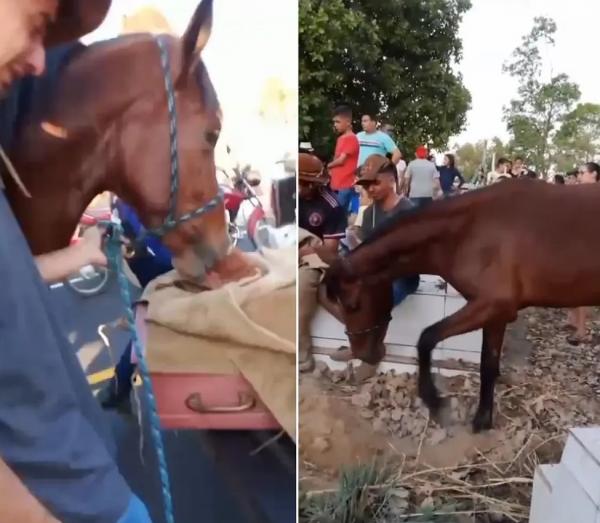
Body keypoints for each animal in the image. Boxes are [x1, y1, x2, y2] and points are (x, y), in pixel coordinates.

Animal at [326, 180, 600, 434]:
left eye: (353, 305)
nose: (363, 354)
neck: (467, 231)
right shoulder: (496, 315)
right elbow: (487, 364)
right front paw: (483, 418)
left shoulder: (492, 305)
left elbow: (427, 339)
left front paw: (434, 400)